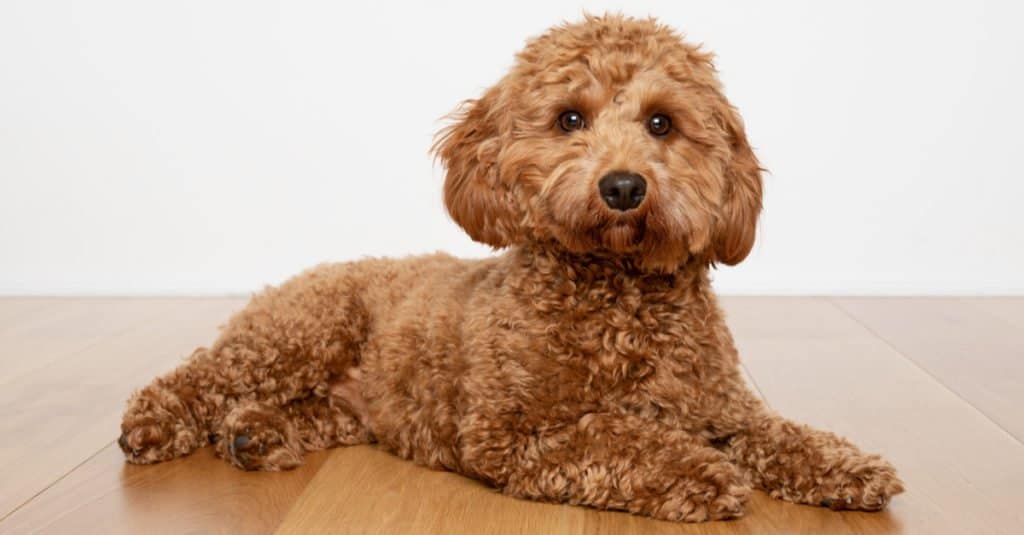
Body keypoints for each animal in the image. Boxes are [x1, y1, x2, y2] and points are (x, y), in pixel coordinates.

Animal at [121, 13, 905, 520]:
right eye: (569, 119)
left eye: (661, 123)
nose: (623, 187)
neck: (615, 300)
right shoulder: (512, 433)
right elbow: (617, 435)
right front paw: (701, 471)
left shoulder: (721, 407)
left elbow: (779, 433)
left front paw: (847, 466)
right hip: (300, 334)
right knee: (200, 376)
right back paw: (153, 423)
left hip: (349, 403)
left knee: (296, 410)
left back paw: (254, 433)